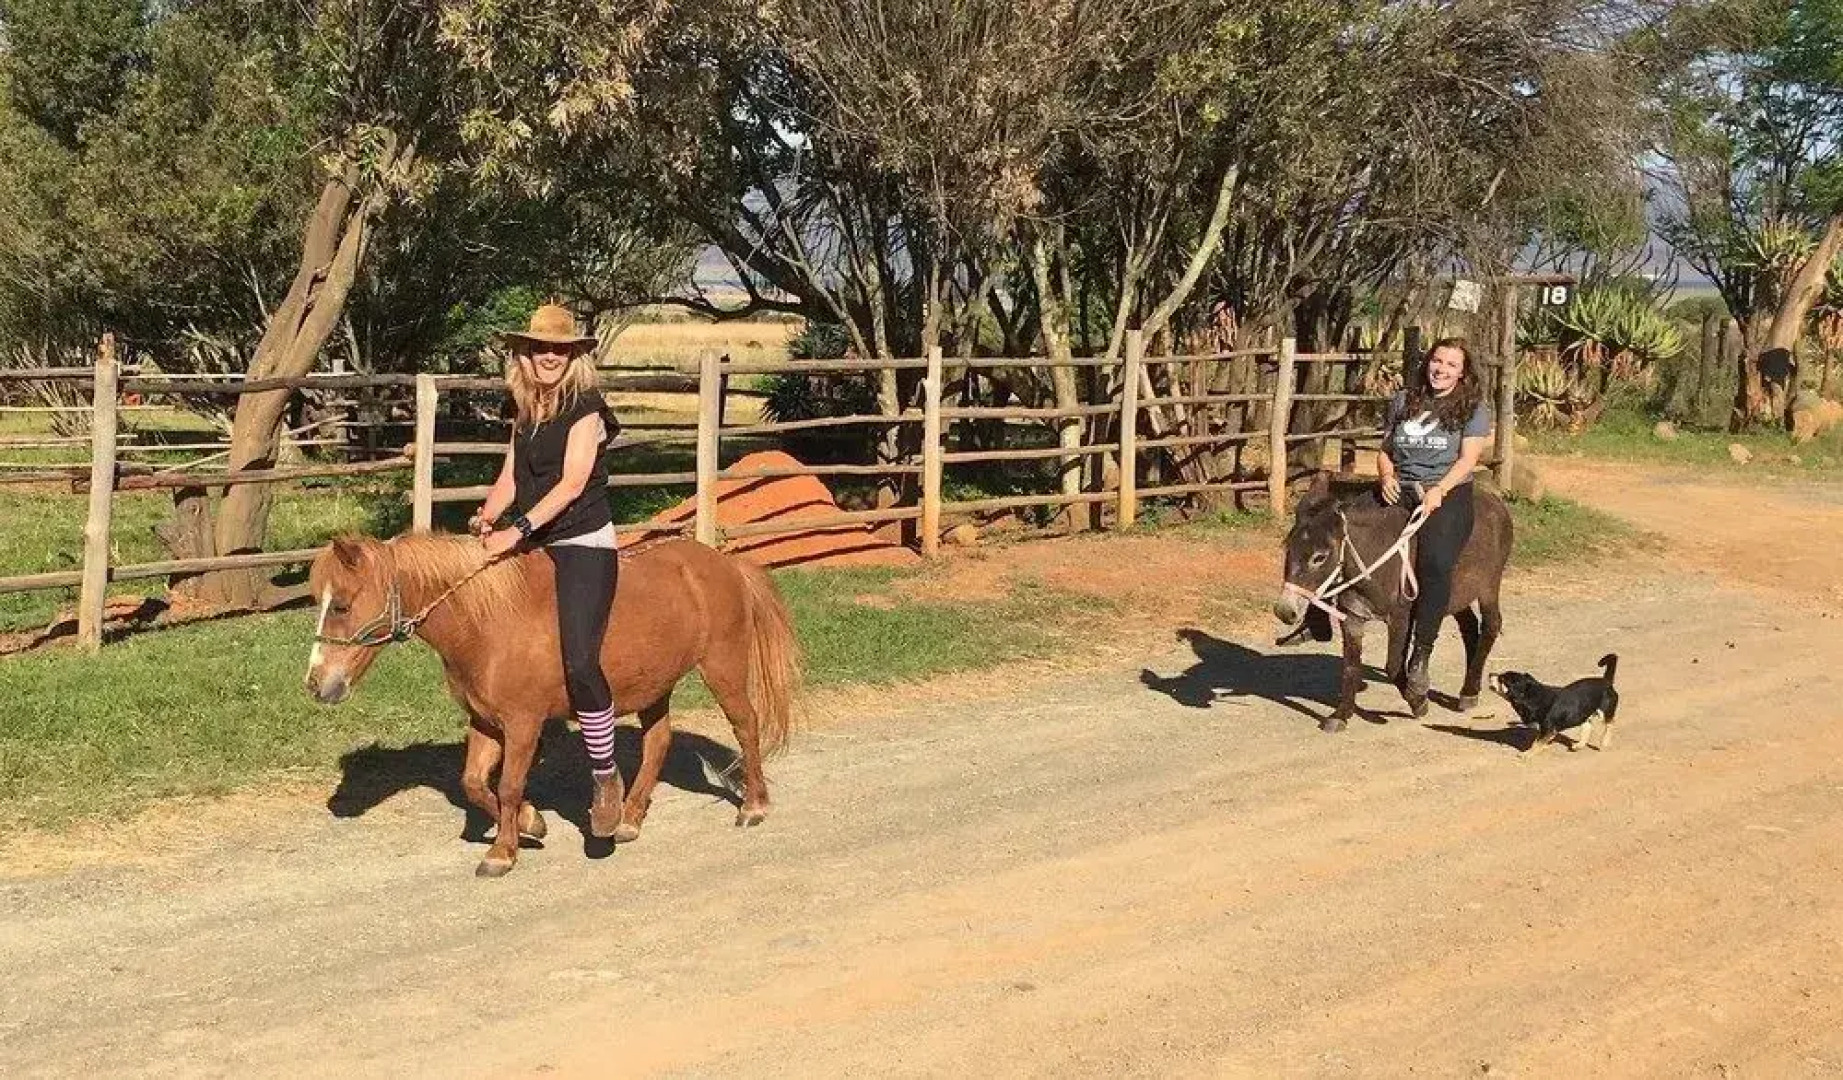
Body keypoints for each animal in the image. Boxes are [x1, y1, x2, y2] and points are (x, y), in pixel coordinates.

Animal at [304, 532, 803, 878]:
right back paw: (627, 819)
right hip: (654, 686)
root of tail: (726, 563)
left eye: (342, 605)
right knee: (658, 742)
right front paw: (531, 823)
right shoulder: (484, 721)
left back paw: (752, 807)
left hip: (722, 669)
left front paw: (502, 852)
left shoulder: (523, 723)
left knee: (746, 727)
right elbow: (474, 783)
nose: (316, 684)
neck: (488, 623)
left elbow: (507, 786)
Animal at [1272, 473, 1512, 731]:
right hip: (1456, 594)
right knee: (1469, 627)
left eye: (1320, 557)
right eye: (1287, 548)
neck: (1374, 557)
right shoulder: (1353, 617)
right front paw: (1341, 715)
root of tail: (1495, 501)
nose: (1284, 611)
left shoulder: (1401, 618)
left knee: (1490, 626)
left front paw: (1418, 701)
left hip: (1488, 587)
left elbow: (1394, 665)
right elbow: (1350, 667)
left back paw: (1467, 692)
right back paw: (1470, 688)